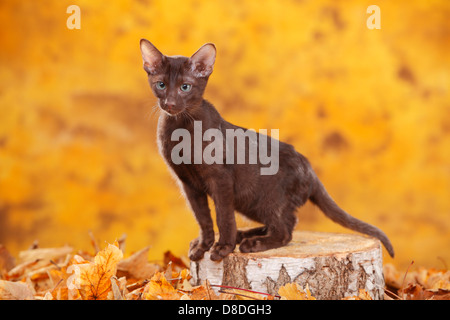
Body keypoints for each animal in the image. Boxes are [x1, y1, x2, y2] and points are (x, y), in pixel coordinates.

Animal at [140, 38, 394, 262]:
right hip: (250, 202)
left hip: (264, 199)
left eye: (185, 87)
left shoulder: (220, 178)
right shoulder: (188, 183)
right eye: (161, 85)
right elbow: (203, 219)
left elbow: (223, 216)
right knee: (281, 224)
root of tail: (310, 170)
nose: (170, 103)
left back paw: (251, 243)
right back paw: (244, 236)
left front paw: (223, 248)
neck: (181, 128)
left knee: (285, 230)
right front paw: (203, 246)